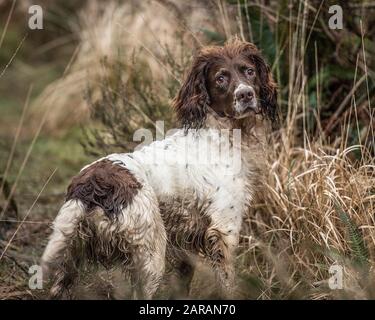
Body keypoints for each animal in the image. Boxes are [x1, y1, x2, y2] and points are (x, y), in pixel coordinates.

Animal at [41, 38, 278, 298]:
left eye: (250, 71)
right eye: (221, 78)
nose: (246, 94)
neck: (225, 135)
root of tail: (90, 186)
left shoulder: (187, 240)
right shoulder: (224, 229)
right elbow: (228, 283)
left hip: (70, 256)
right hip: (150, 253)